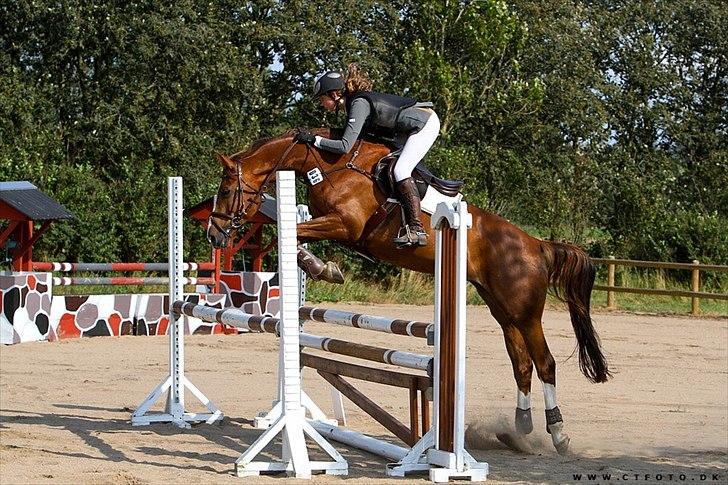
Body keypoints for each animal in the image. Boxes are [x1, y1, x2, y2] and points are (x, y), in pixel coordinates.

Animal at [208, 129, 612, 454]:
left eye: (226, 190)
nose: (215, 235)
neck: (331, 164)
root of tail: (537, 244)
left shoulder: (344, 224)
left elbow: (288, 234)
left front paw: (324, 268)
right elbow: (290, 233)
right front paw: (321, 266)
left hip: (526, 313)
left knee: (544, 363)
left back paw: (558, 435)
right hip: (504, 311)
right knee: (522, 364)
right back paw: (520, 430)